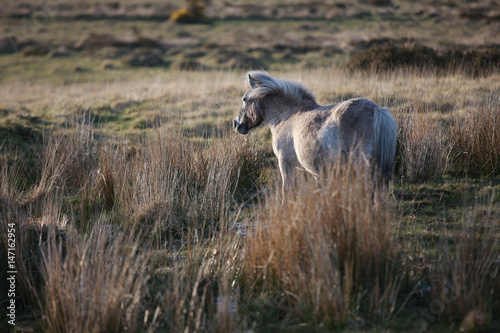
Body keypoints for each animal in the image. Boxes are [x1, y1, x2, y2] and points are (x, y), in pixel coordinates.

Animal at [232, 70, 396, 195]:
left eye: (244, 99)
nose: (236, 124)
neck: (287, 115)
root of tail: (376, 109)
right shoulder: (315, 170)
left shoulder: (284, 162)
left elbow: (287, 189)